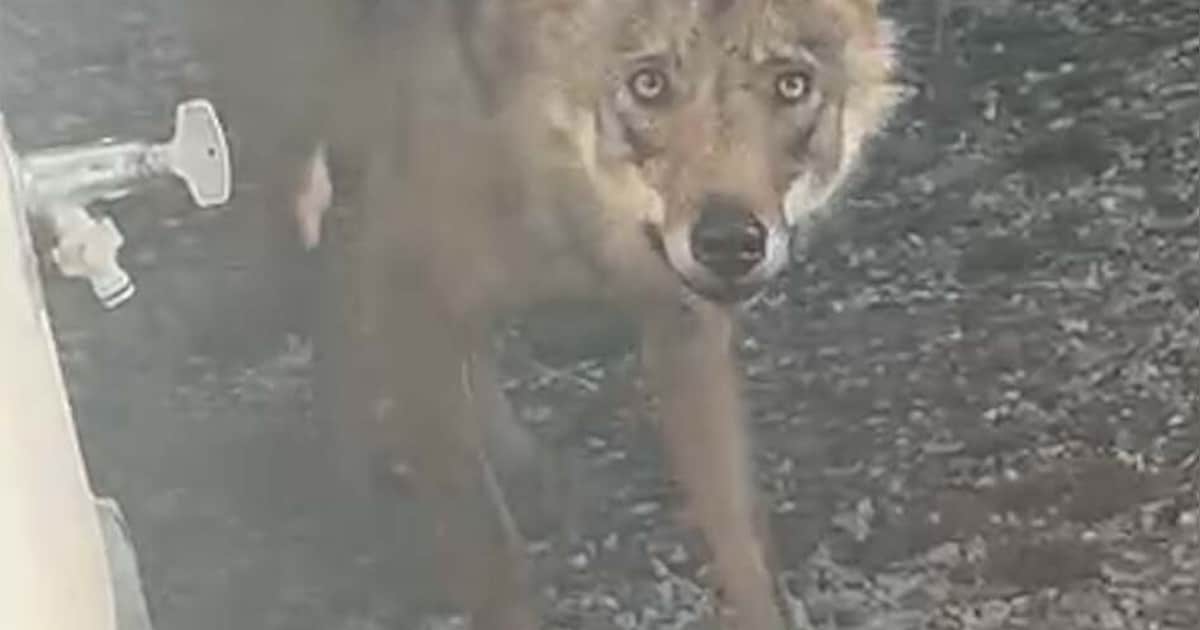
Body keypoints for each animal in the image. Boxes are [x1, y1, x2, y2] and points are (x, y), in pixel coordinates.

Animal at [186, 0, 898, 628]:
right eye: (648, 83)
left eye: (791, 84)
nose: (729, 242)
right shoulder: (409, 287)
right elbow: (491, 555)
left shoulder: (683, 321)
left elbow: (745, 552)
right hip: (299, 129)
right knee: (321, 280)